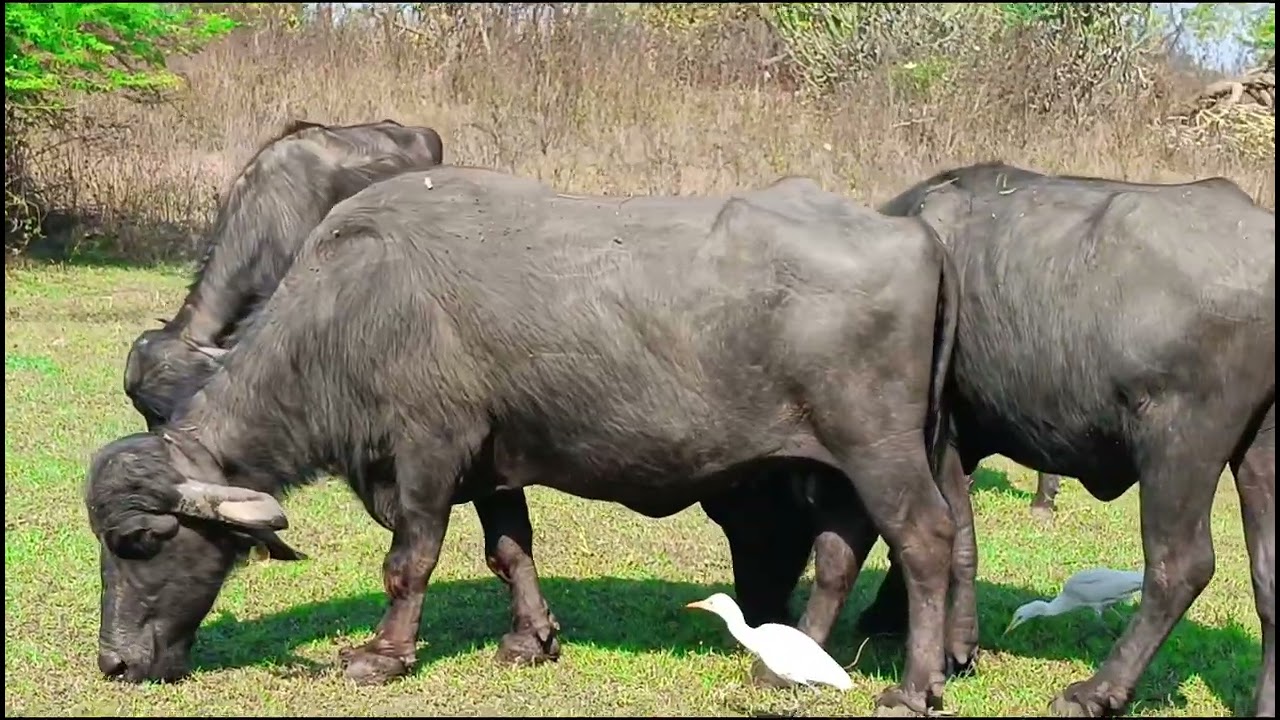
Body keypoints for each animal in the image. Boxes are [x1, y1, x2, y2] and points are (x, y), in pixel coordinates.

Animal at [87, 166, 963, 716]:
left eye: (141, 541)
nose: (114, 663)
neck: (352, 308)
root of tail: (914, 237)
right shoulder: (490, 466)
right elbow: (509, 550)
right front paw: (530, 638)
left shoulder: (427, 452)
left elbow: (410, 562)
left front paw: (382, 654)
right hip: (839, 464)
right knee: (840, 551)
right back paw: (790, 663)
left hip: (880, 449)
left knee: (924, 541)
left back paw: (913, 688)